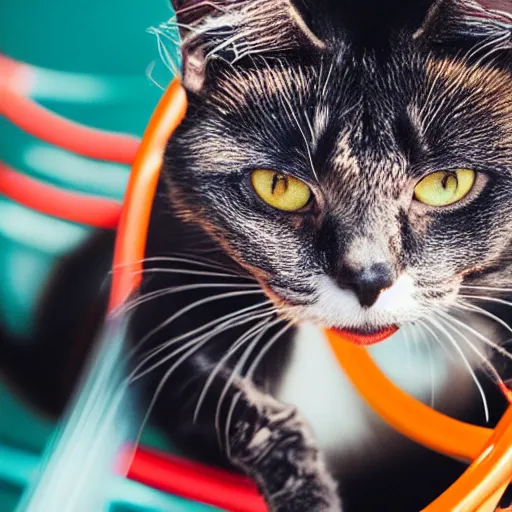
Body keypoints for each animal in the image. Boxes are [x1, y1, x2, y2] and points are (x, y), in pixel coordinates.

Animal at [3, 0, 512, 510]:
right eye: (279, 186)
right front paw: (307, 492)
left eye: (447, 183)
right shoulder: (167, 292)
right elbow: (228, 402)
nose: (369, 277)